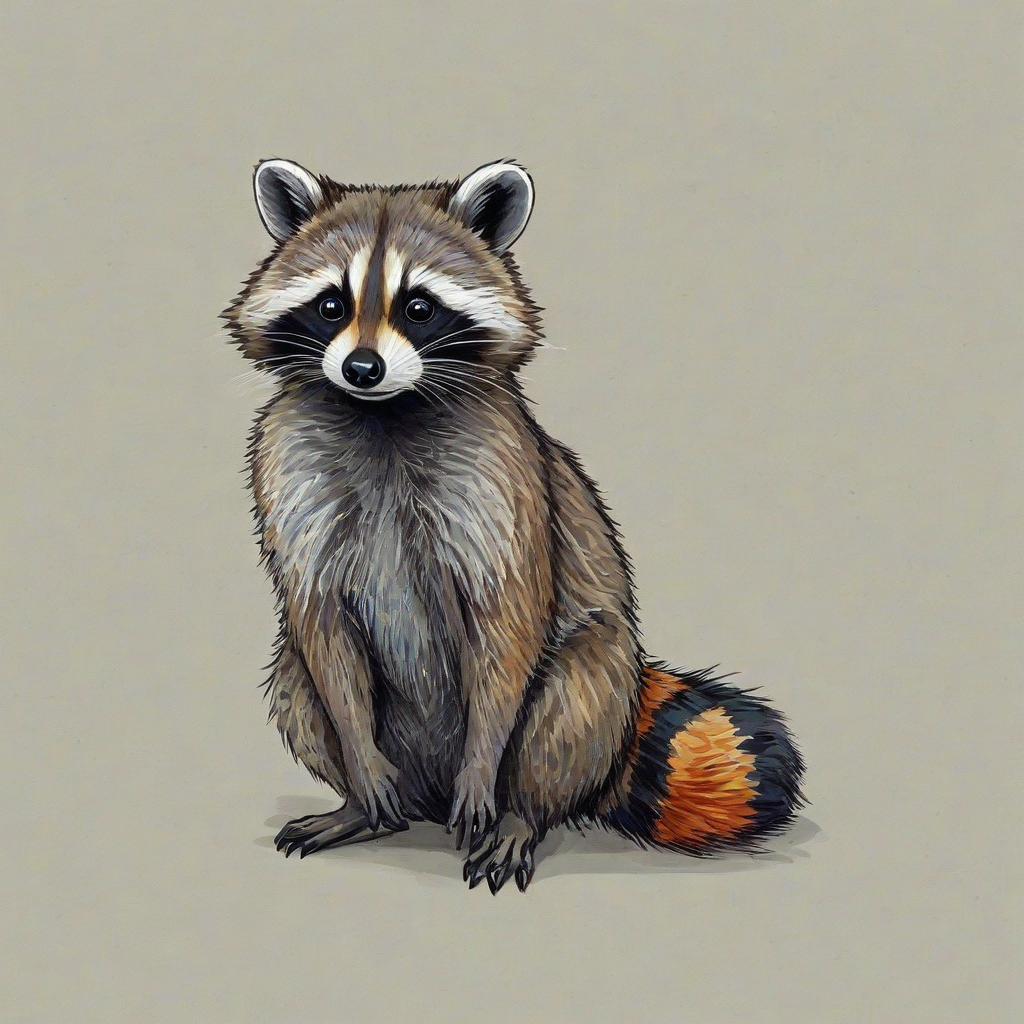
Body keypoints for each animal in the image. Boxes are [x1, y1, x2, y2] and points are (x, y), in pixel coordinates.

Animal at [222, 158, 805, 893]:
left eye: (419, 307)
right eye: (331, 305)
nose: (361, 368)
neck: (383, 412)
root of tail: (428, 798)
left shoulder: (505, 482)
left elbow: (510, 620)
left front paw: (488, 771)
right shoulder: (288, 469)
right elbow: (318, 619)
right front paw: (358, 759)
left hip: (598, 688)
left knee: (571, 699)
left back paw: (520, 815)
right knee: (298, 677)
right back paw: (359, 804)